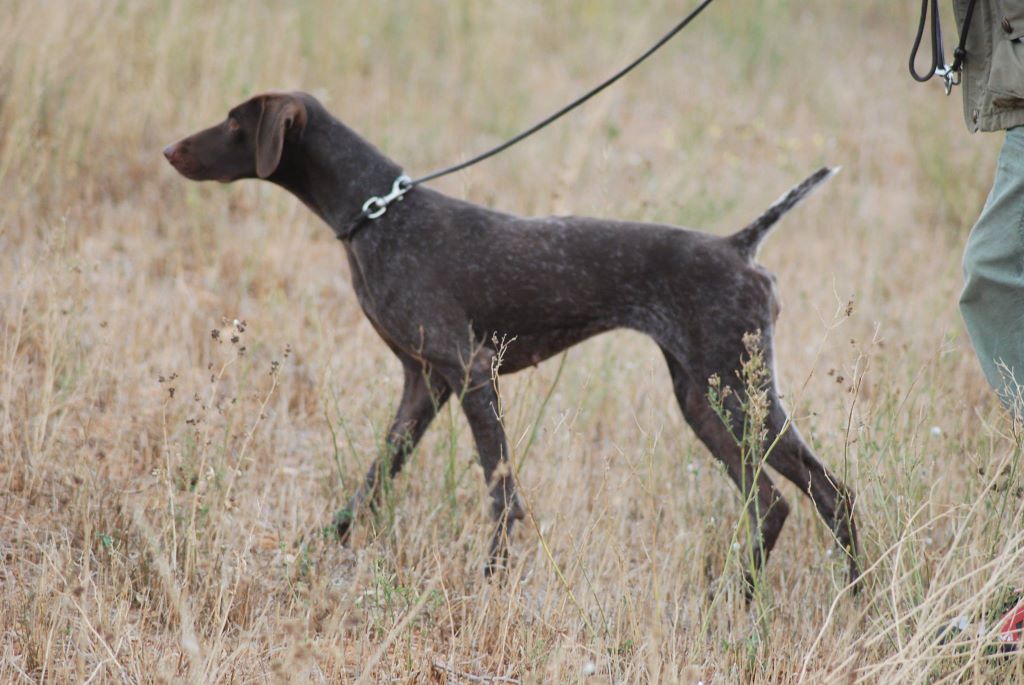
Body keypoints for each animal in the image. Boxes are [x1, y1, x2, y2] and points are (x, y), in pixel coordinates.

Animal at [165, 91, 860, 590]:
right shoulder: (425, 383)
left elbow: (500, 494)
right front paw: (319, 548)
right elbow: (375, 480)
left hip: (739, 395)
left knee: (821, 493)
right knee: (781, 501)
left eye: (234, 121)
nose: (170, 149)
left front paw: (490, 583)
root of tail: (740, 247)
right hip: (704, 402)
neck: (378, 215)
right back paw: (799, 599)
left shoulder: (470, 372)